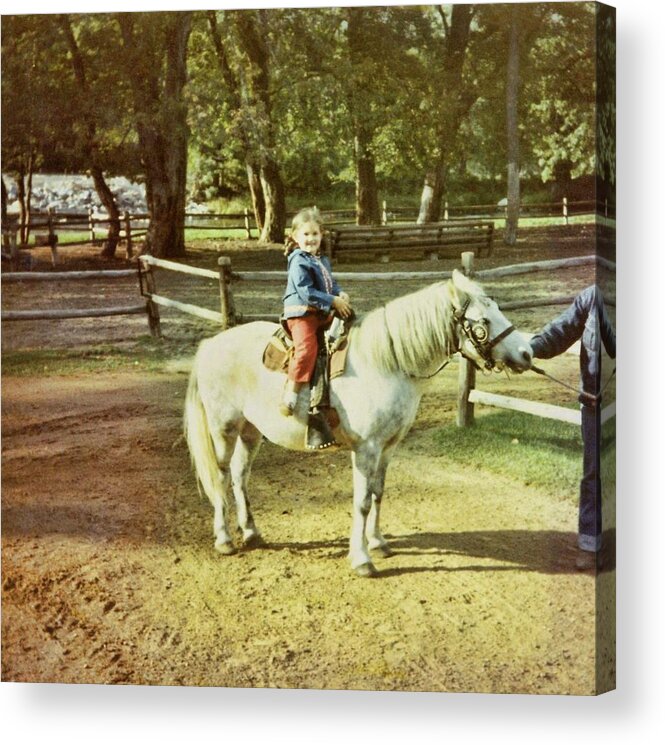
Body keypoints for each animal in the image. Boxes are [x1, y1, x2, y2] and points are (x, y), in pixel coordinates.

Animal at [183, 270, 528, 580]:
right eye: (483, 321)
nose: (526, 352)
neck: (386, 363)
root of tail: (210, 345)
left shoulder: (388, 447)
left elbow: (378, 493)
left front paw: (377, 542)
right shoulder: (366, 449)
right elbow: (361, 501)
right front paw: (361, 559)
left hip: (251, 431)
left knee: (240, 476)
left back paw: (252, 532)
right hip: (224, 429)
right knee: (221, 477)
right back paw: (224, 539)